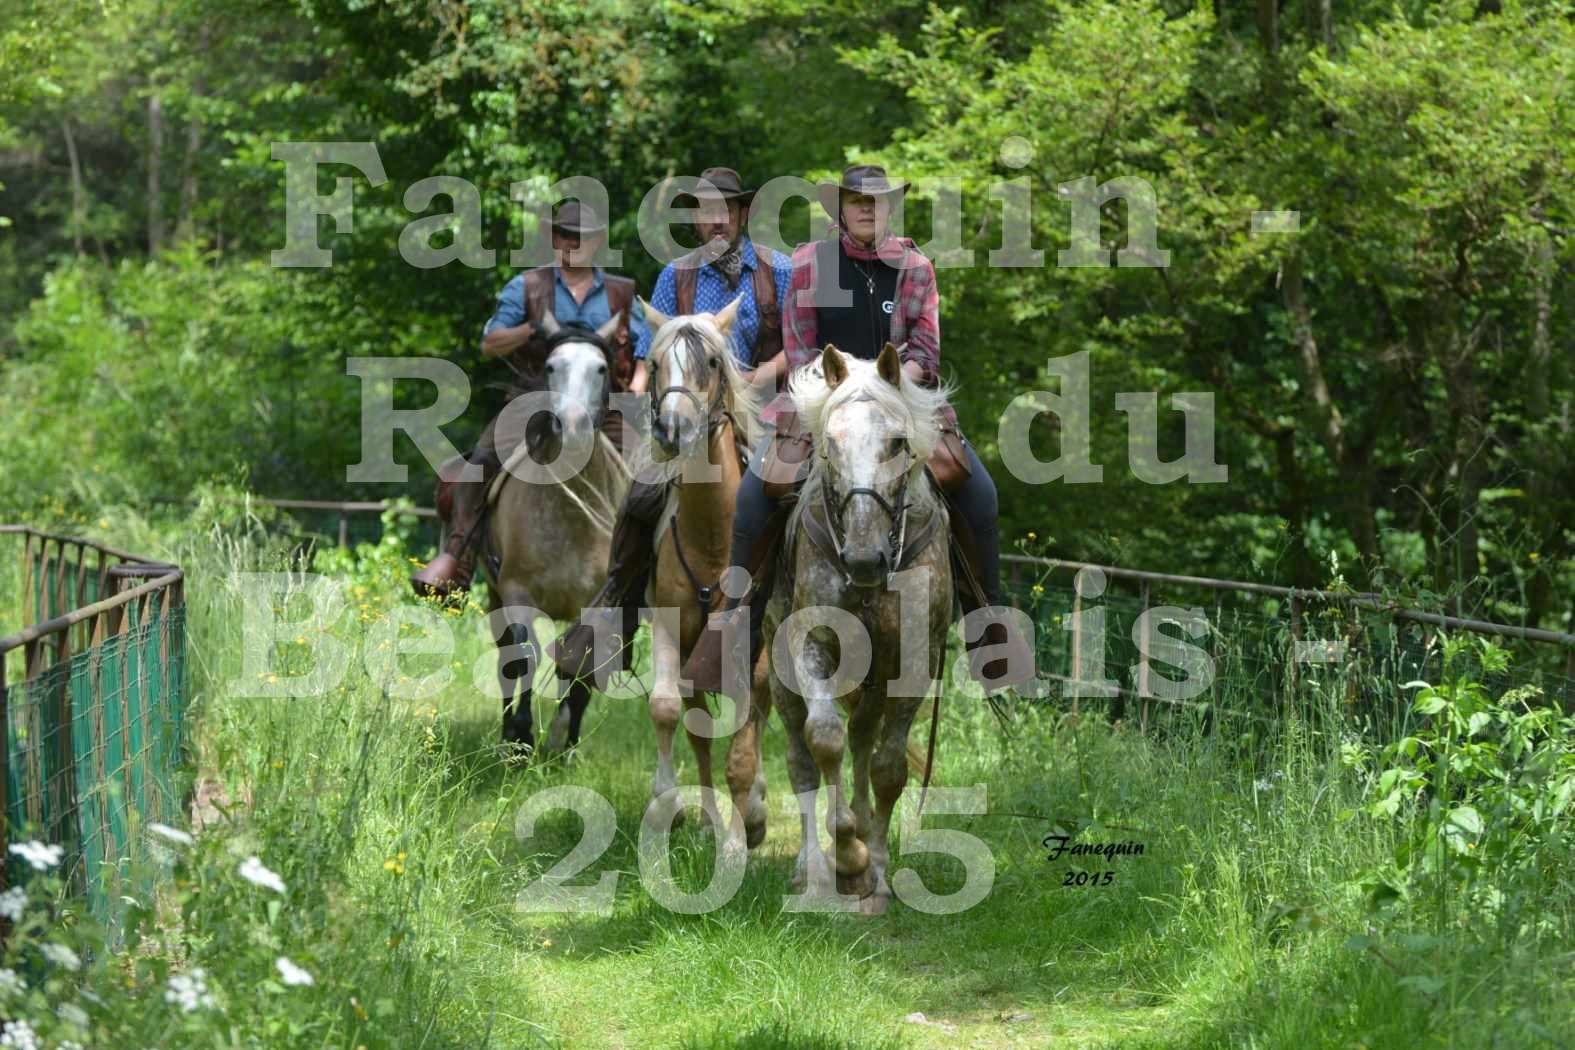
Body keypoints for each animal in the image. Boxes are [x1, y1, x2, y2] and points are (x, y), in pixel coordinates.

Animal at [481, 316, 630, 758]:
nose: (574, 426)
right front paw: (520, 735)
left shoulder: (597, 603)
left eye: (601, 368)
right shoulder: (516, 592)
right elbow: (524, 658)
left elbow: (578, 668)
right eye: (550, 366)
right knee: (506, 659)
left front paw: (567, 742)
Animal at [762, 343, 945, 913]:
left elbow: (888, 768)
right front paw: (848, 857)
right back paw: (810, 868)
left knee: (864, 739)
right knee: (801, 758)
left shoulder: (913, 662)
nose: (865, 560)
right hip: (778, 670)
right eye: (830, 444)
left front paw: (876, 871)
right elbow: (823, 740)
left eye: (897, 442)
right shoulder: (812, 644)